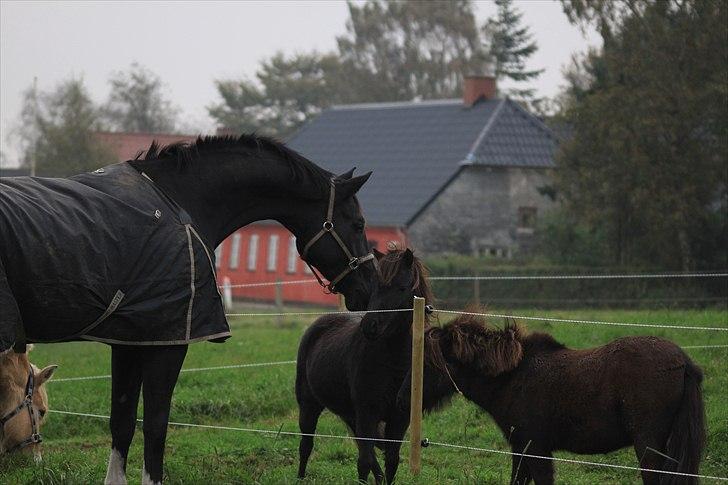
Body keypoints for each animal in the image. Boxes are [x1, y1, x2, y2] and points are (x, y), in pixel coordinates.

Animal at [0, 133, 376, 484]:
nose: (368, 289)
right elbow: (155, 426)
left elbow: (122, 422)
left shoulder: (131, 339)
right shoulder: (169, 342)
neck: (181, 202)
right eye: (358, 224)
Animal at [294, 248, 432, 482]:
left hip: (350, 415)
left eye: (402, 287)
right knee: (306, 444)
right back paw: (301, 477)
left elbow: (390, 461)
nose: (370, 326)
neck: (393, 362)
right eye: (375, 286)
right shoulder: (367, 414)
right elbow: (364, 462)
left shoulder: (399, 418)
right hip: (309, 404)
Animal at [398, 314, 704, 484]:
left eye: (429, 363)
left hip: (648, 445)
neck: (513, 376)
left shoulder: (536, 449)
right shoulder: (521, 449)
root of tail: (683, 361)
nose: (402, 398)